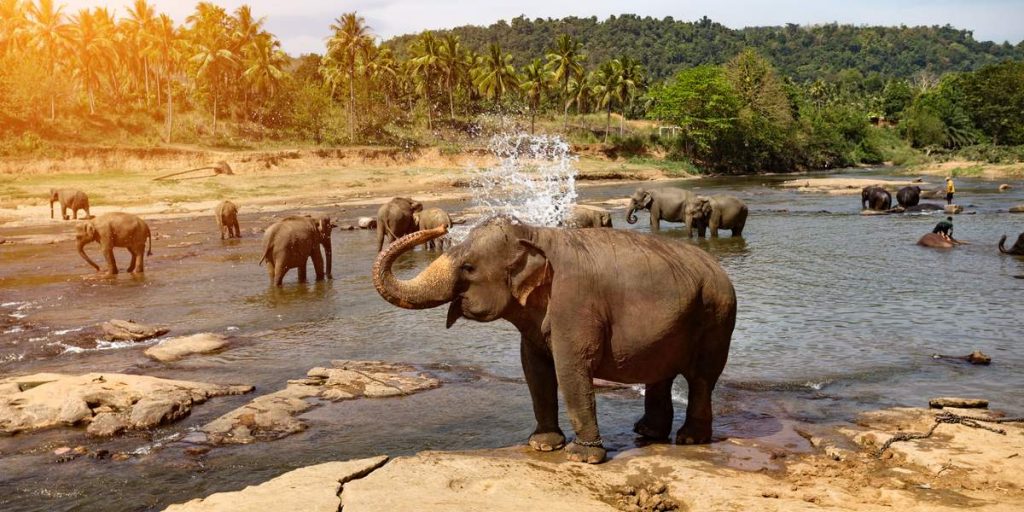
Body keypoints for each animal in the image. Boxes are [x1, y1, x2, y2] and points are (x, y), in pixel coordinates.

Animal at [372, 216, 737, 464]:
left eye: (469, 267)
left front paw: (581, 457)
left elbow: (571, 368)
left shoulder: (575, 303)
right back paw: (647, 433)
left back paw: (689, 440)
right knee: (661, 374)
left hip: (717, 316)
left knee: (702, 378)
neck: (534, 233)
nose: (440, 228)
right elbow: (534, 369)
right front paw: (543, 445)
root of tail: (718, 267)